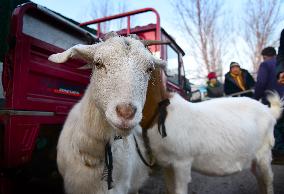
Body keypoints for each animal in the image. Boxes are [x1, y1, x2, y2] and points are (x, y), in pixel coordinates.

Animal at [148, 92, 282, 194]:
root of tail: (268, 111)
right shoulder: (167, 165)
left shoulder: (182, 162)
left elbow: (180, 191)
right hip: (253, 157)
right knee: (260, 179)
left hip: (264, 151)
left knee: (268, 179)